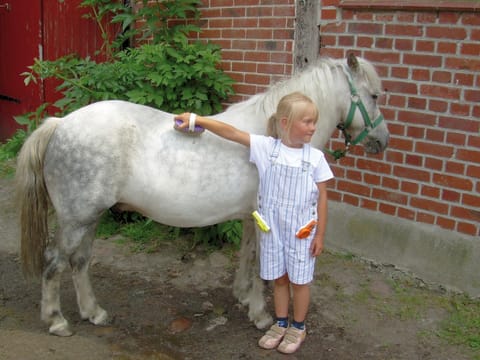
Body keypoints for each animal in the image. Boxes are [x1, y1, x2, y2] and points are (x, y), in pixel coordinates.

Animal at [15, 52, 390, 334]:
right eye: (373, 96)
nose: (382, 141)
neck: (272, 137)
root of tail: (60, 124)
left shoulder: (251, 218)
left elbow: (246, 256)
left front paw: (242, 296)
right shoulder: (264, 219)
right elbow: (260, 265)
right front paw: (260, 315)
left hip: (89, 218)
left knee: (79, 262)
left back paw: (94, 312)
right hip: (76, 220)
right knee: (54, 263)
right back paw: (57, 321)